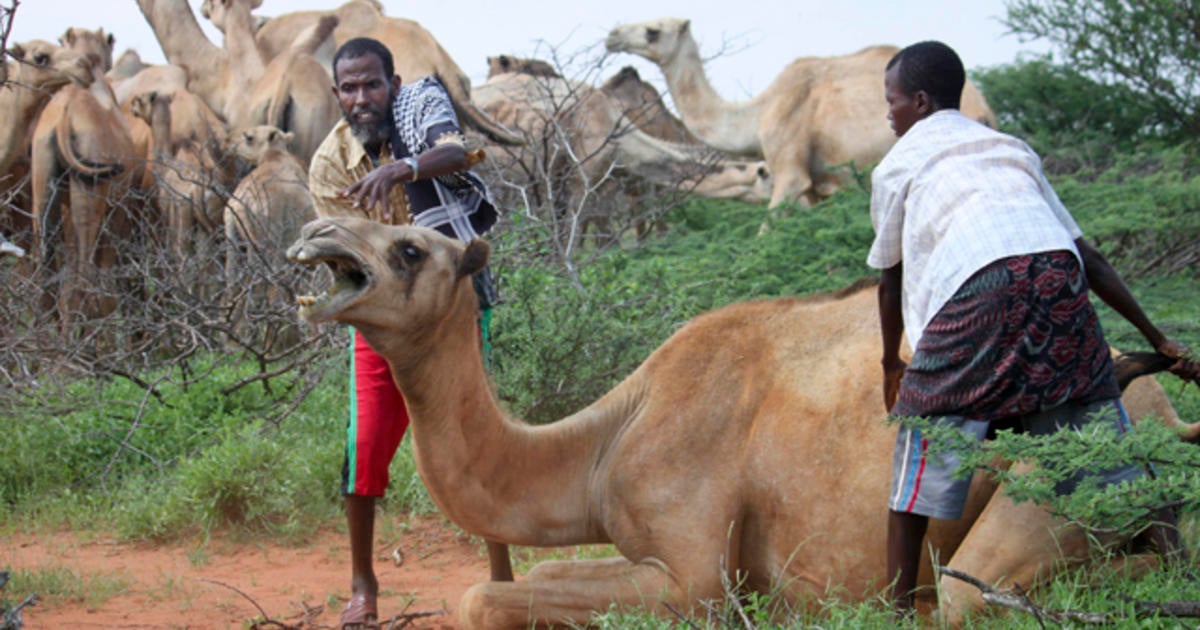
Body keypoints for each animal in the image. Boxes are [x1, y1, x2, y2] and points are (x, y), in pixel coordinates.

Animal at [285, 217, 1195, 628]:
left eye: (409, 248)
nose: (317, 232)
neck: (604, 442)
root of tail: (1167, 415)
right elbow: (525, 581)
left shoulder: (693, 577)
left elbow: (481, 595)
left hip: (1052, 486)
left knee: (982, 597)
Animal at [604, 18, 998, 206]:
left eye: (653, 31)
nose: (612, 35)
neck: (757, 113)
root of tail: (982, 108)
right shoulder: (818, 185)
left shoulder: (789, 166)